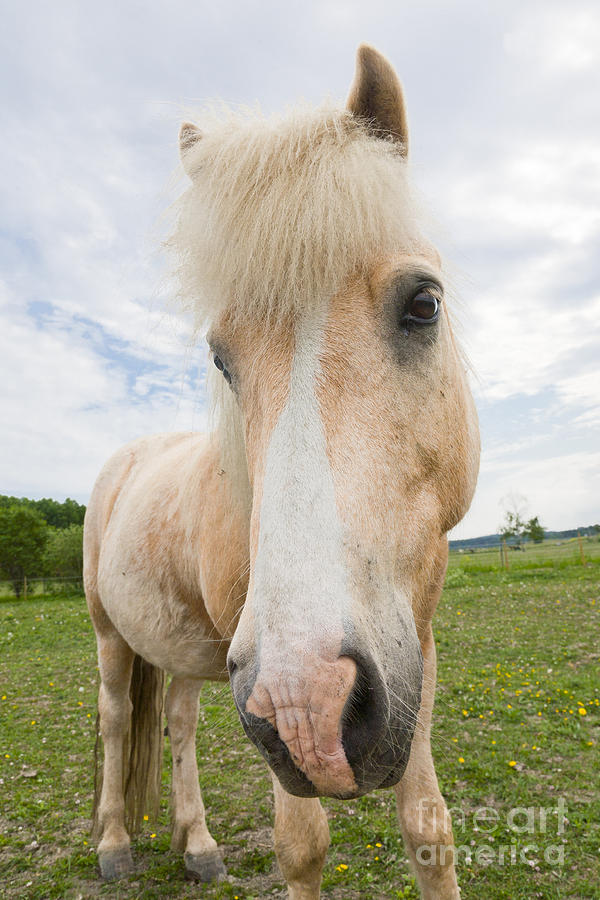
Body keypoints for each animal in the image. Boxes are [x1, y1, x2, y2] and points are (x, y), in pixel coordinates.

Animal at [83, 44, 478, 900]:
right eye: (219, 356)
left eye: (424, 304)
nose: (310, 707)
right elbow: (300, 844)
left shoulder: (419, 647)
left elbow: (428, 830)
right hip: (112, 634)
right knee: (115, 719)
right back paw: (115, 843)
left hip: (189, 654)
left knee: (178, 722)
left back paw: (197, 845)